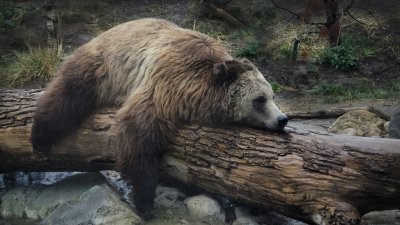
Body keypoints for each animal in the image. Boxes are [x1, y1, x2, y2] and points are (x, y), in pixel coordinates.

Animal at [31, 18, 288, 220]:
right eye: (259, 99)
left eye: (273, 96)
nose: (283, 119)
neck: (200, 90)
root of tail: (106, 31)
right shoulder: (169, 82)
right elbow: (139, 130)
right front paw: (145, 201)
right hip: (102, 66)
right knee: (68, 93)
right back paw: (40, 137)